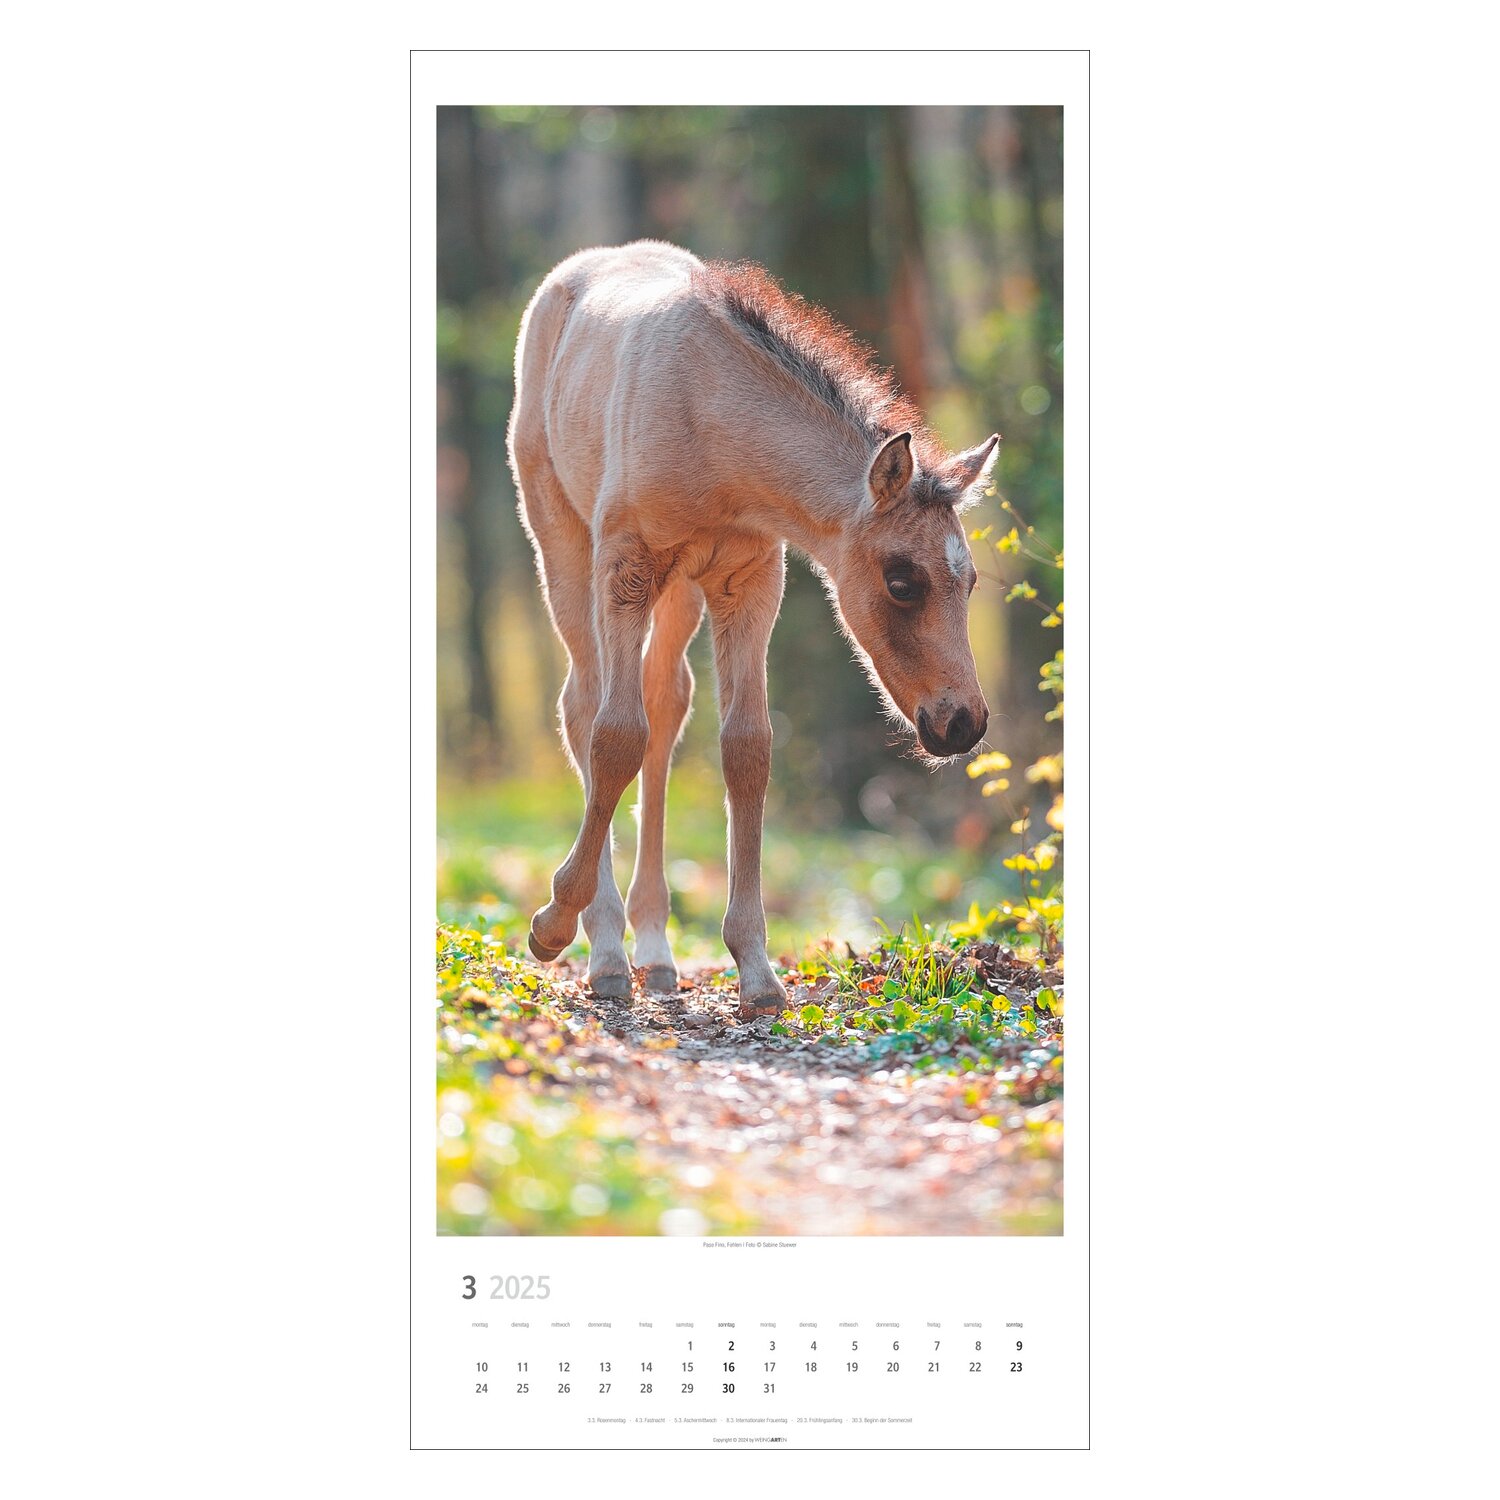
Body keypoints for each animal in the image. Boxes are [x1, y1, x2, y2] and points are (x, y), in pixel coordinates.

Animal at [507, 240, 998, 1019]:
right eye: (901, 581)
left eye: (970, 581)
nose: (962, 724)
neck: (709, 422)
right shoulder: (624, 566)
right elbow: (614, 737)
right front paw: (553, 925)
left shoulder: (751, 581)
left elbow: (747, 750)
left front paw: (758, 971)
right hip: (562, 540)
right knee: (585, 706)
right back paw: (608, 950)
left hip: (680, 593)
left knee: (666, 702)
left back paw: (655, 950)